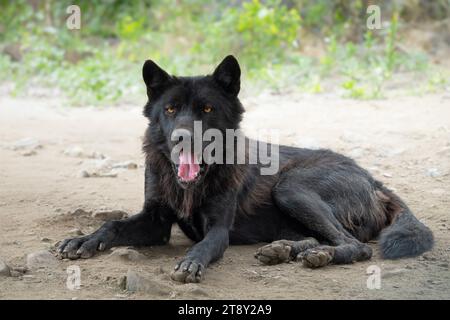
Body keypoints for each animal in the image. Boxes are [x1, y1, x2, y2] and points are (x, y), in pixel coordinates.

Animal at [57, 55, 432, 282]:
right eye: (170, 109)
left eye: (207, 109)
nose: (182, 138)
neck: (192, 184)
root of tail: (373, 180)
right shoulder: (155, 222)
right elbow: (112, 224)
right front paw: (83, 240)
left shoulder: (218, 228)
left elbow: (204, 246)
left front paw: (191, 263)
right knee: (322, 237)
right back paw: (286, 250)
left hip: (291, 188)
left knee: (356, 244)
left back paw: (318, 255)